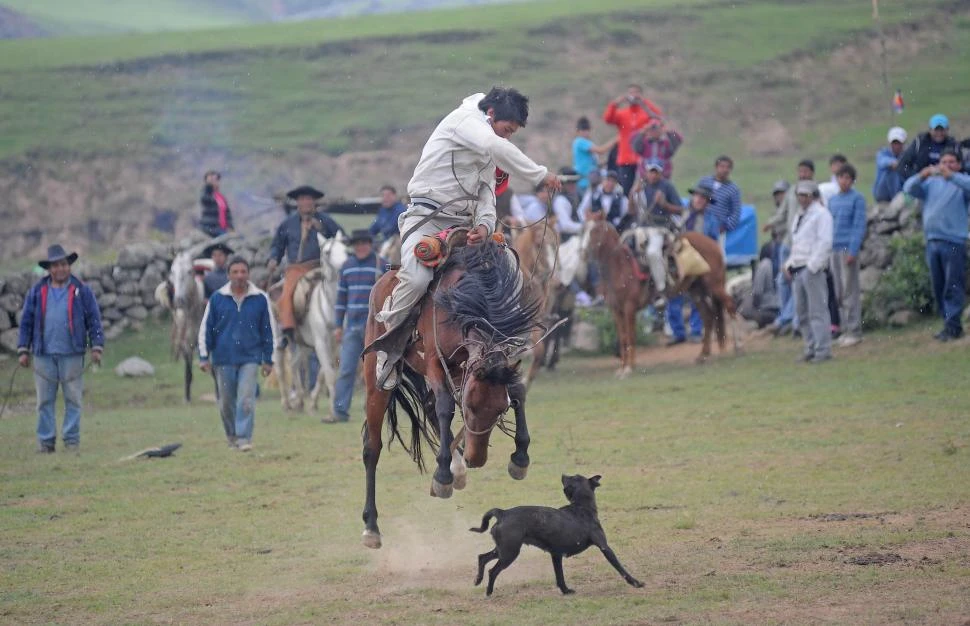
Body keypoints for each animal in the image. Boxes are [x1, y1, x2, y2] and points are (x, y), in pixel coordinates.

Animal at [274, 232, 346, 412]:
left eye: (344, 248)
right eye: (327, 252)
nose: (344, 265)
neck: (330, 306)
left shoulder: (334, 344)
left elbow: (323, 373)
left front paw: (313, 401)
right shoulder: (320, 343)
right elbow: (329, 374)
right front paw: (333, 409)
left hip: (303, 345)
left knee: (293, 364)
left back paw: (299, 400)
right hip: (278, 339)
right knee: (280, 368)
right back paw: (286, 402)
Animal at [358, 234, 536, 544]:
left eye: (500, 409)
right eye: (470, 407)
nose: (476, 458)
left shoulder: (505, 356)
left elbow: (518, 392)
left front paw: (520, 457)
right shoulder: (434, 362)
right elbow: (445, 407)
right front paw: (442, 475)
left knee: (428, 407)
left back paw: (459, 468)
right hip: (377, 376)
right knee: (373, 445)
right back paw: (371, 527)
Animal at [468, 472, 644, 596]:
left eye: (573, 477)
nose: (563, 474)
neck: (581, 507)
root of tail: (503, 513)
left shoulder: (556, 555)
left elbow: (559, 576)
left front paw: (565, 591)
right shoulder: (605, 547)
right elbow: (621, 568)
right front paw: (636, 583)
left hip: (502, 549)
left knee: (482, 557)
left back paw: (478, 580)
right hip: (509, 553)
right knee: (493, 571)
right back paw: (489, 592)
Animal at [584, 218, 740, 376]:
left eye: (597, 231)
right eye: (586, 230)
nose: (585, 253)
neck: (619, 268)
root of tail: (713, 243)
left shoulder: (629, 308)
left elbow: (630, 336)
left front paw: (629, 368)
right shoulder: (617, 310)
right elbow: (623, 338)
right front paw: (622, 368)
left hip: (715, 286)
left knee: (730, 306)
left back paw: (738, 347)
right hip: (696, 291)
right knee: (708, 318)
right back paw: (703, 355)